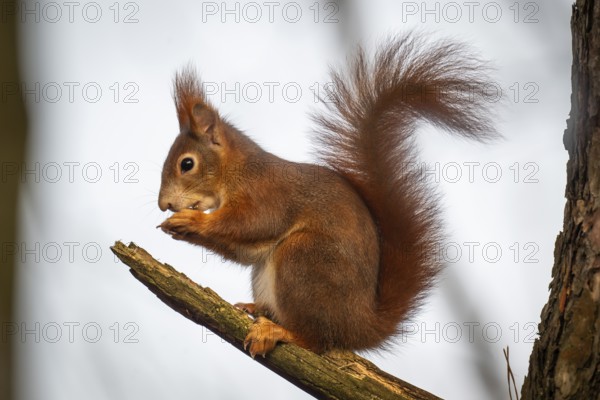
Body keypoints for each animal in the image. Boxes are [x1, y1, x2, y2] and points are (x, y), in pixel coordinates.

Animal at [158, 33, 496, 356]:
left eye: (186, 164)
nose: (164, 204)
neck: (235, 171)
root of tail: (359, 325)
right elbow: (241, 249)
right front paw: (180, 228)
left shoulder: (267, 194)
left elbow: (254, 223)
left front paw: (193, 221)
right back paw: (259, 309)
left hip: (304, 257)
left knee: (317, 340)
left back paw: (279, 331)